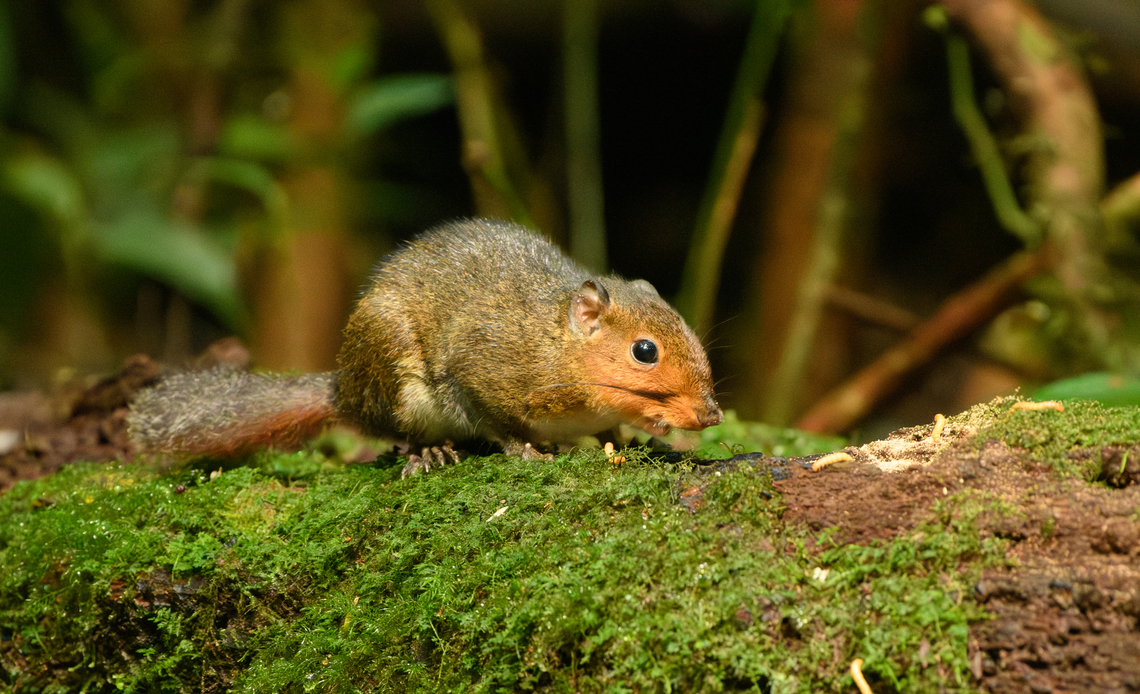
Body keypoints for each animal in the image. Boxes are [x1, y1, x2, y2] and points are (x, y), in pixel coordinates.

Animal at [128, 218, 722, 476]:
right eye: (644, 351)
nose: (712, 414)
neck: (553, 342)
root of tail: (343, 389)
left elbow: (609, 433)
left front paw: (631, 441)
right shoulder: (478, 368)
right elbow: (492, 420)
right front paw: (525, 449)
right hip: (393, 370)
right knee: (400, 431)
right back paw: (430, 452)